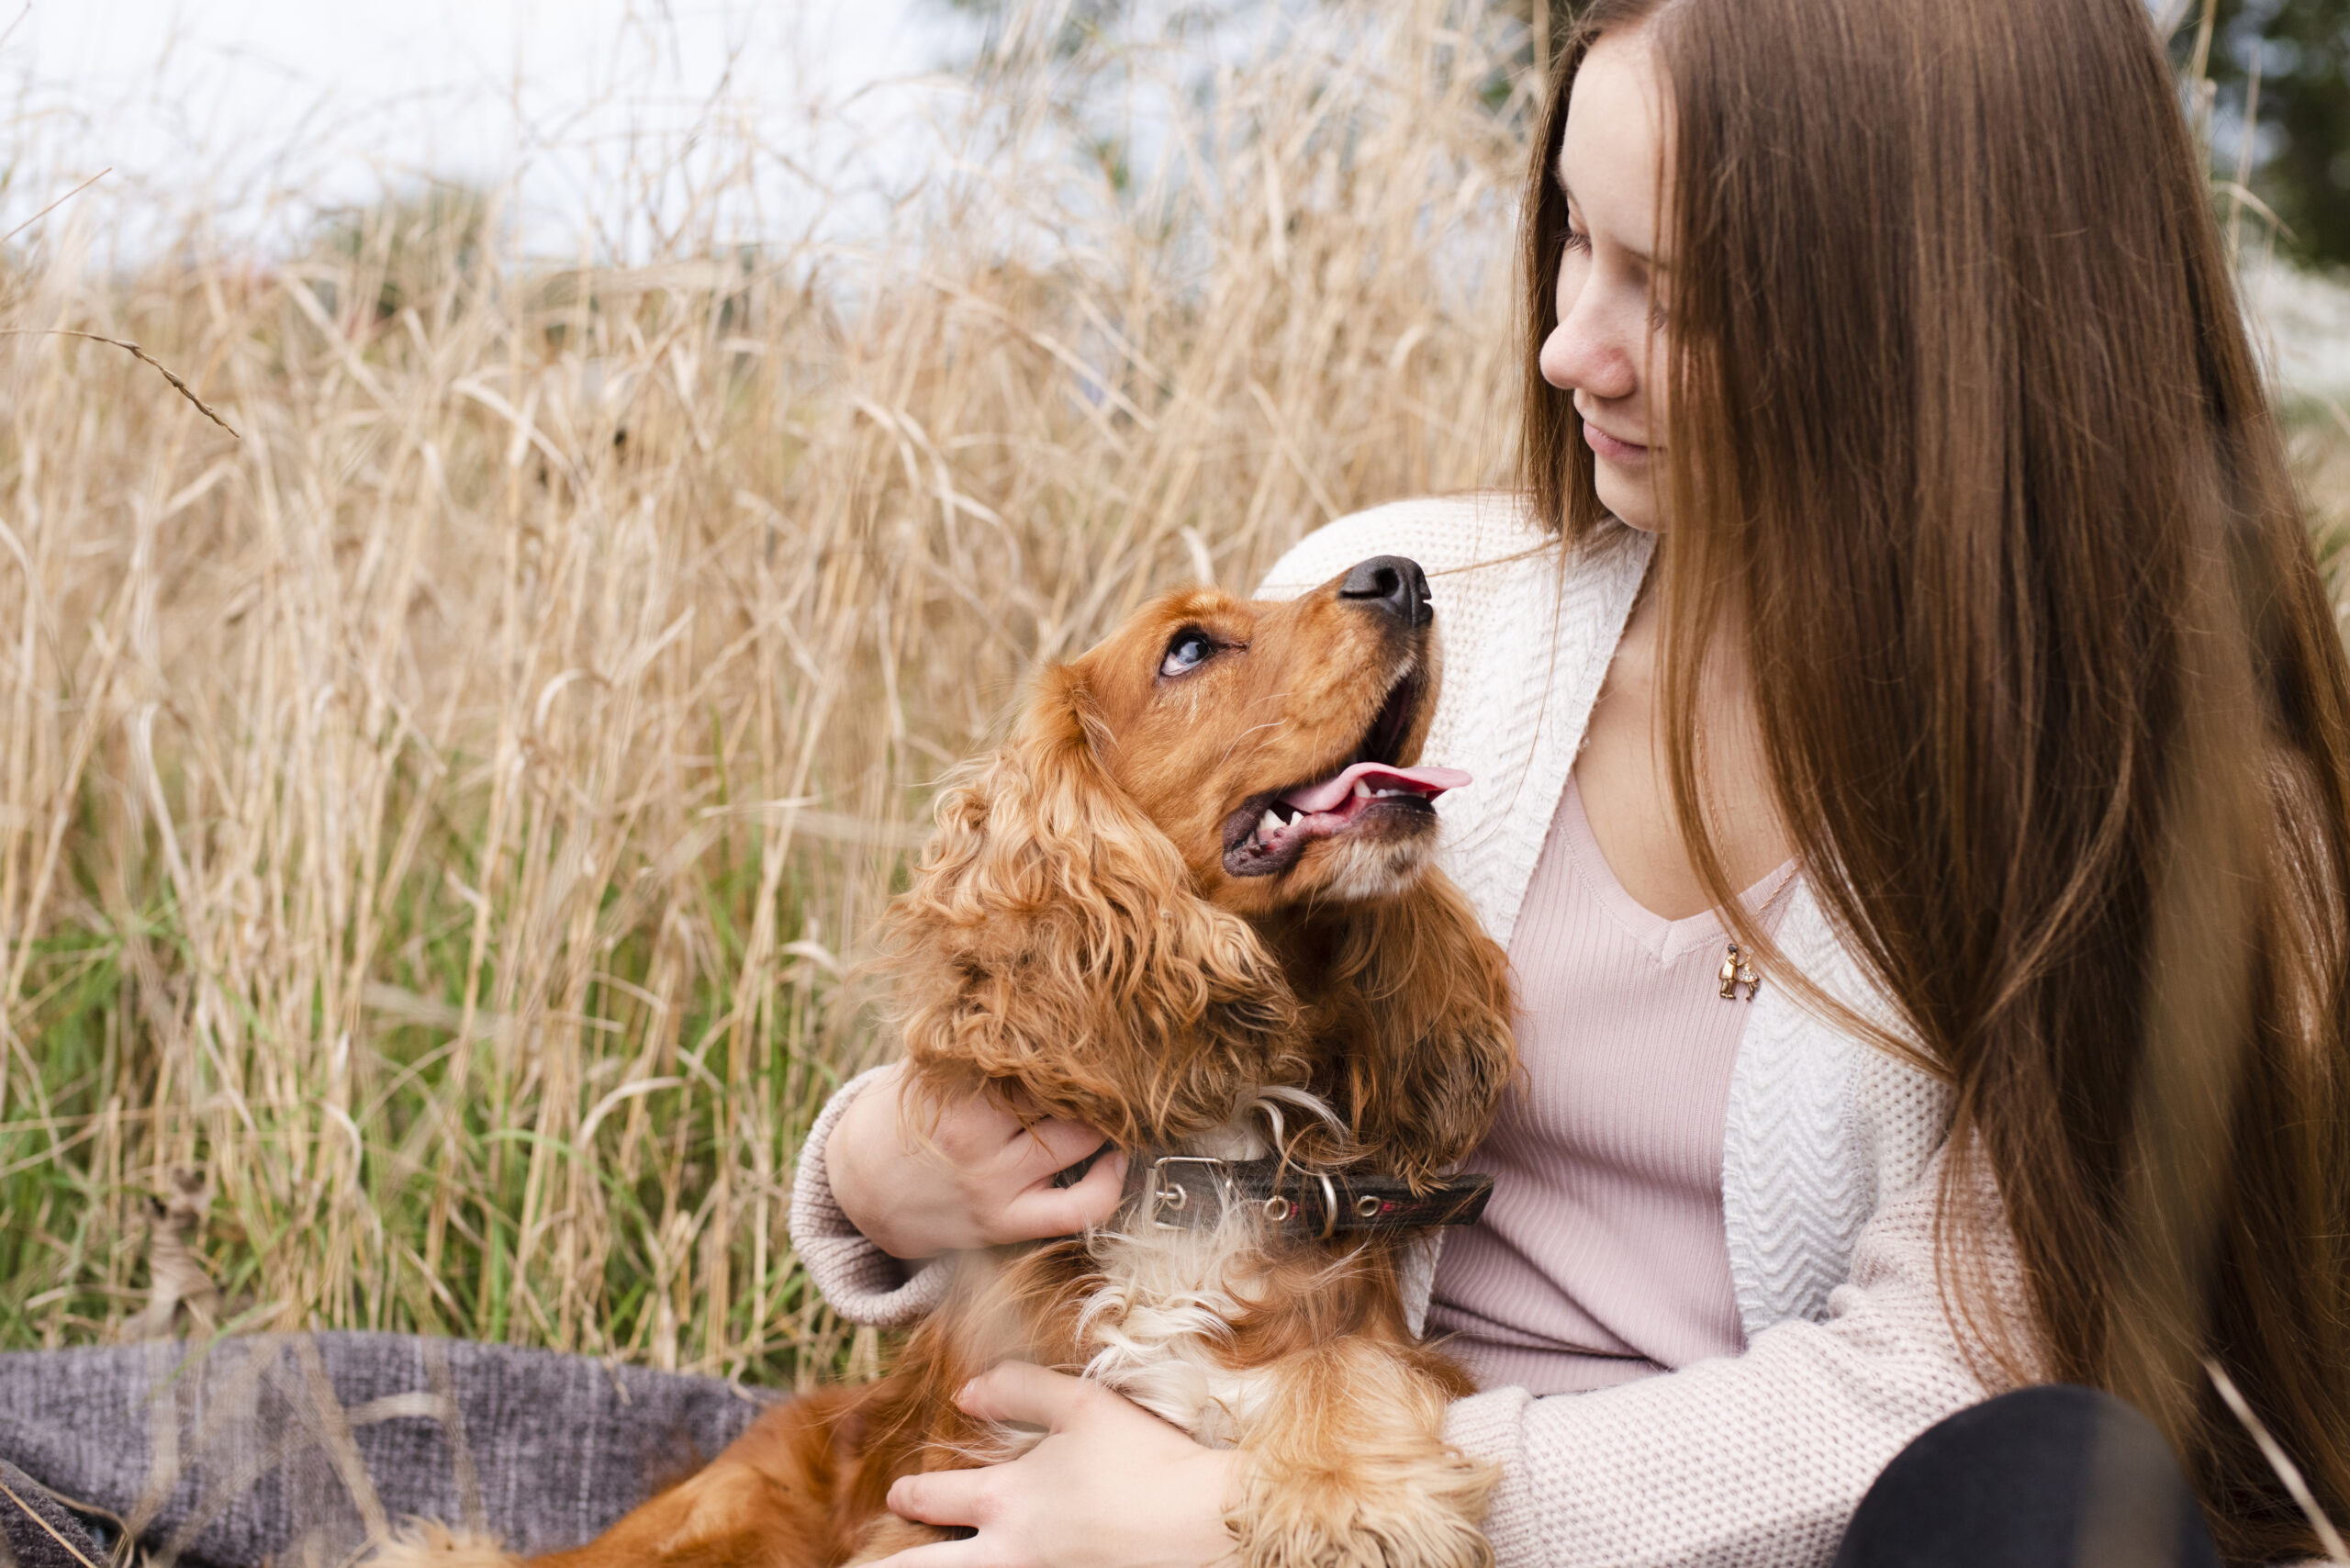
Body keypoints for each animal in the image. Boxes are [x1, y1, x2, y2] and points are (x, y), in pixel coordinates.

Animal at [380, 556, 1522, 1561]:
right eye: (1189, 647)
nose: (1403, 576)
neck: (1195, 1163)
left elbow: (1353, 1358)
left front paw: (1347, 1492)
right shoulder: (949, 1488)